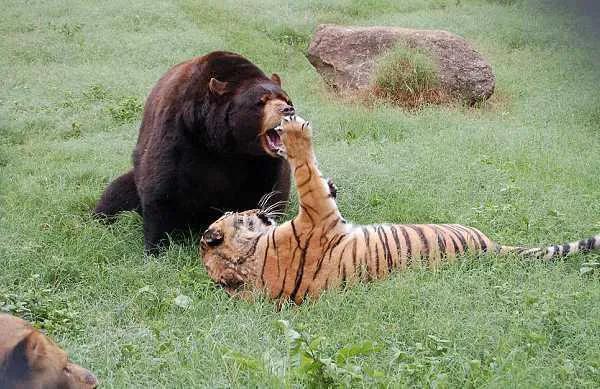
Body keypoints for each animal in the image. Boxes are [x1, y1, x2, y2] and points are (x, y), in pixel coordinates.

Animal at [94, 50, 296, 252]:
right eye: (261, 101)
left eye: (286, 99)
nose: (288, 110)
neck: (225, 144)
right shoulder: (179, 132)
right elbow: (161, 188)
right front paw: (157, 247)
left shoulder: (261, 161)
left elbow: (262, 192)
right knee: (116, 194)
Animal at [202, 115, 600, 304]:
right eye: (238, 215)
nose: (256, 209)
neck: (251, 260)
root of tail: (494, 248)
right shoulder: (316, 212)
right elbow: (306, 173)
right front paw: (295, 133)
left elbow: (316, 179)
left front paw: (332, 181)